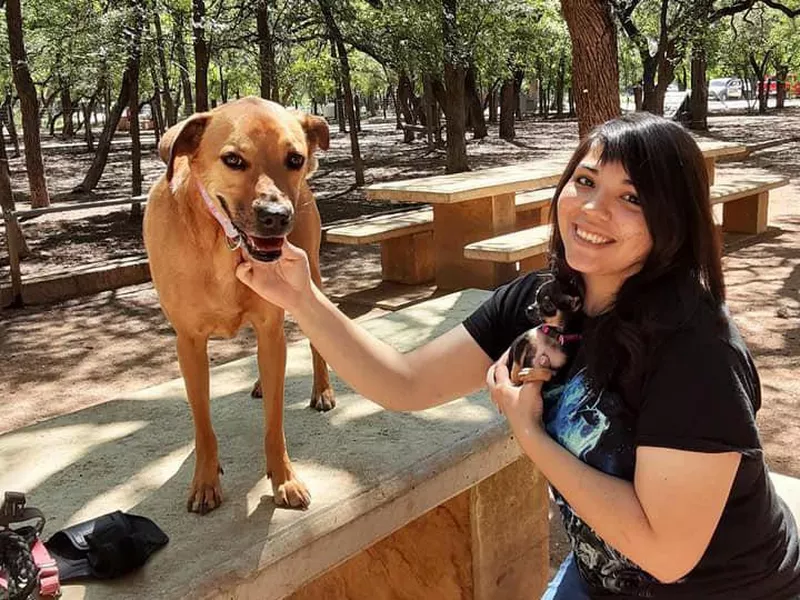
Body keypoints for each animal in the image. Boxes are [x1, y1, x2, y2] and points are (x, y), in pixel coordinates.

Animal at [144, 96, 334, 512]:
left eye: (294, 158)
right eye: (233, 159)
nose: (276, 216)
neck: (222, 243)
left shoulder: (270, 325)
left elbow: (274, 423)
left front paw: (284, 479)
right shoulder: (189, 343)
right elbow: (202, 423)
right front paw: (204, 481)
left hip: (310, 276)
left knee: (316, 340)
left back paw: (322, 390)